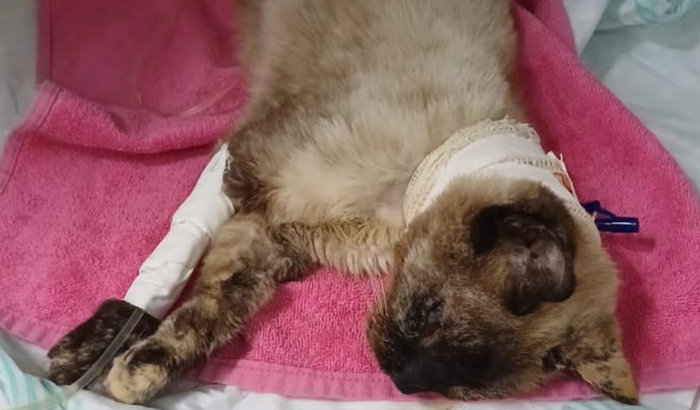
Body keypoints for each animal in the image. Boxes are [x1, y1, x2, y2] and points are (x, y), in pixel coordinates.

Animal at [47, 0, 639, 405]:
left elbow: (208, 310)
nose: (401, 381)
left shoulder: (271, 236)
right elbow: (167, 275)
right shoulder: (246, 170)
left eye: (462, 391)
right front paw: (91, 355)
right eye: (431, 314)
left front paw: (139, 371)